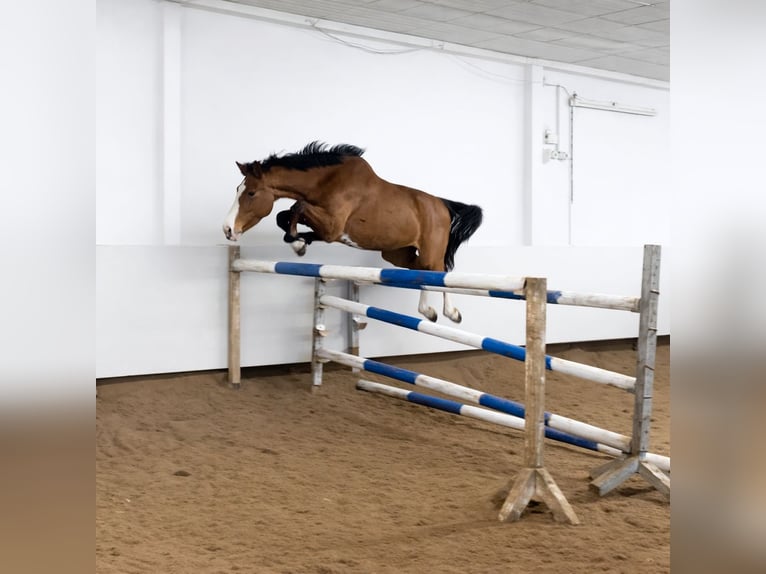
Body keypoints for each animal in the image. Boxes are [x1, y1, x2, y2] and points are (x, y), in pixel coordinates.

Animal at [222, 141, 483, 323]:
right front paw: (300, 242)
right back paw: (430, 312)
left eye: (251, 193)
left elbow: (298, 207)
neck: (327, 181)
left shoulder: (332, 227)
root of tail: (443, 205)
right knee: (422, 274)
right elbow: (284, 215)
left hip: (431, 252)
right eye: (237, 189)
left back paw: (448, 312)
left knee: (441, 272)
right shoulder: (327, 228)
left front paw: (297, 243)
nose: (227, 229)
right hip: (397, 254)